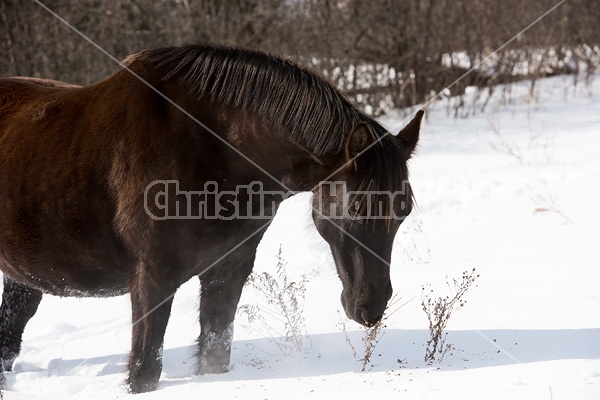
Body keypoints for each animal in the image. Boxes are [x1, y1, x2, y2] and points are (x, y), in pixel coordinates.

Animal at [0, 43, 422, 390]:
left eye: (403, 212)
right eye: (356, 209)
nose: (371, 306)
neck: (209, 151)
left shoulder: (228, 269)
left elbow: (215, 355)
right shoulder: (152, 277)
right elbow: (144, 371)